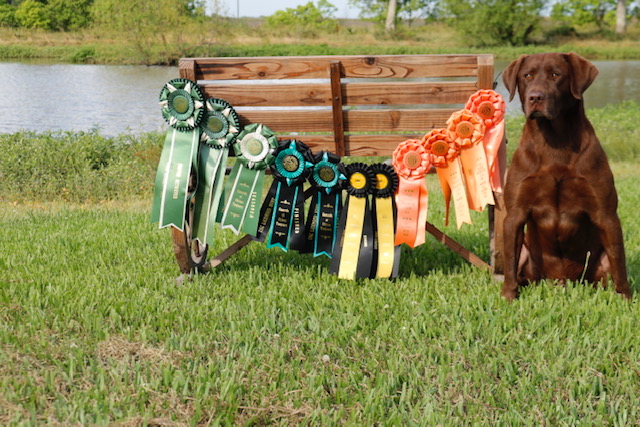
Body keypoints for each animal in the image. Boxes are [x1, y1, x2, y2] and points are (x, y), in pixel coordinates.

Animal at [500, 52, 632, 300]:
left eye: (555, 74)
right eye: (527, 75)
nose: (535, 97)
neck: (554, 141)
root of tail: (560, 281)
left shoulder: (607, 214)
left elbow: (619, 263)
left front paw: (626, 299)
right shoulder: (514, 214)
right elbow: (510, 263)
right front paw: (508, 297)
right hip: (526, 254)